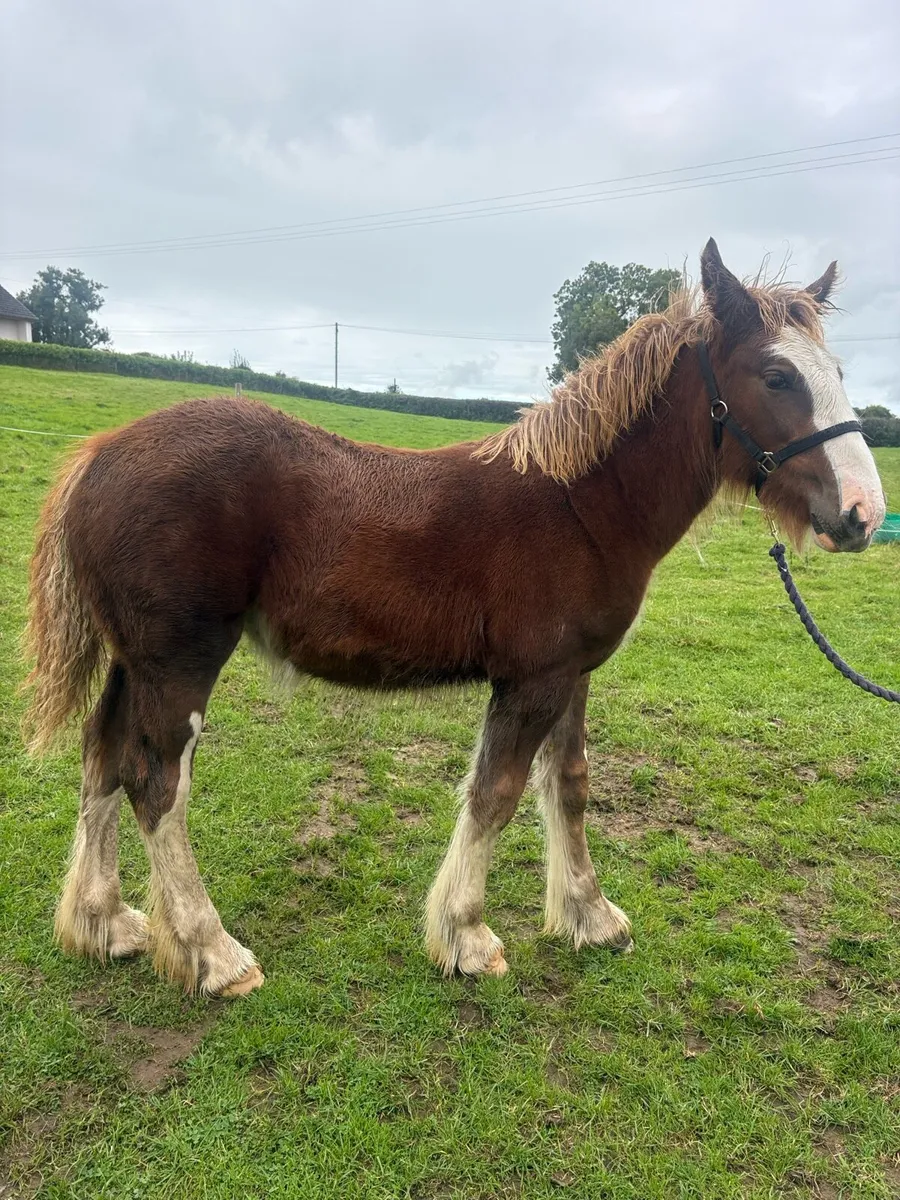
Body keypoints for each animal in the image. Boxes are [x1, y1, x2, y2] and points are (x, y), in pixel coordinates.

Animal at [24, 239, 885, 997]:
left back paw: (105, 922)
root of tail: (98, 454)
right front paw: (467, 936)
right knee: (155, 781)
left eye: (837, 373)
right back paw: (212, 952)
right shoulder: (531, 681)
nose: (862, 515)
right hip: (179, 662)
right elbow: (495, 793)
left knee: (103, 754)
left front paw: (590, 916)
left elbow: (568, 784)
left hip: (136, 662)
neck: (579, 506)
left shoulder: (572, 676)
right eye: (776, 374)